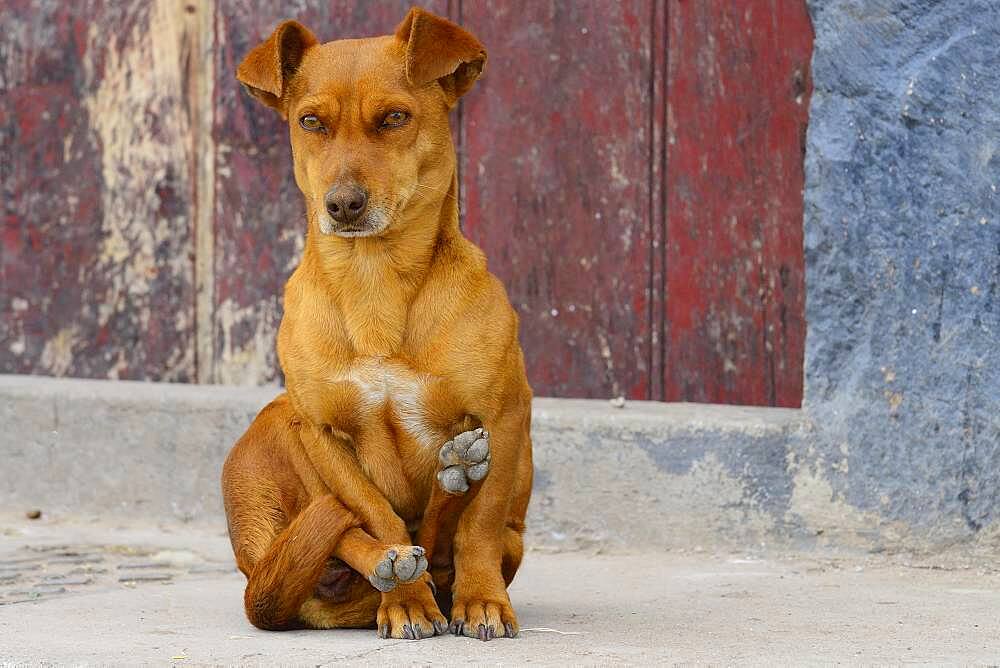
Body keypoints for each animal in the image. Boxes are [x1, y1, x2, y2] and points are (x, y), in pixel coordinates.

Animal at [219, 6, 532, 640]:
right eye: (310, 121)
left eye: (394, 118)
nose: (342, 204)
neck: (375, 284)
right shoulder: (319, 432)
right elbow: (377, 515)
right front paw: (407, 601)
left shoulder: (505, 414)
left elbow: (480, 526)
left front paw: (482, 600)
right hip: (277, 427)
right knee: (363, 541)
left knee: (449, 539)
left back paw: (457, 477)